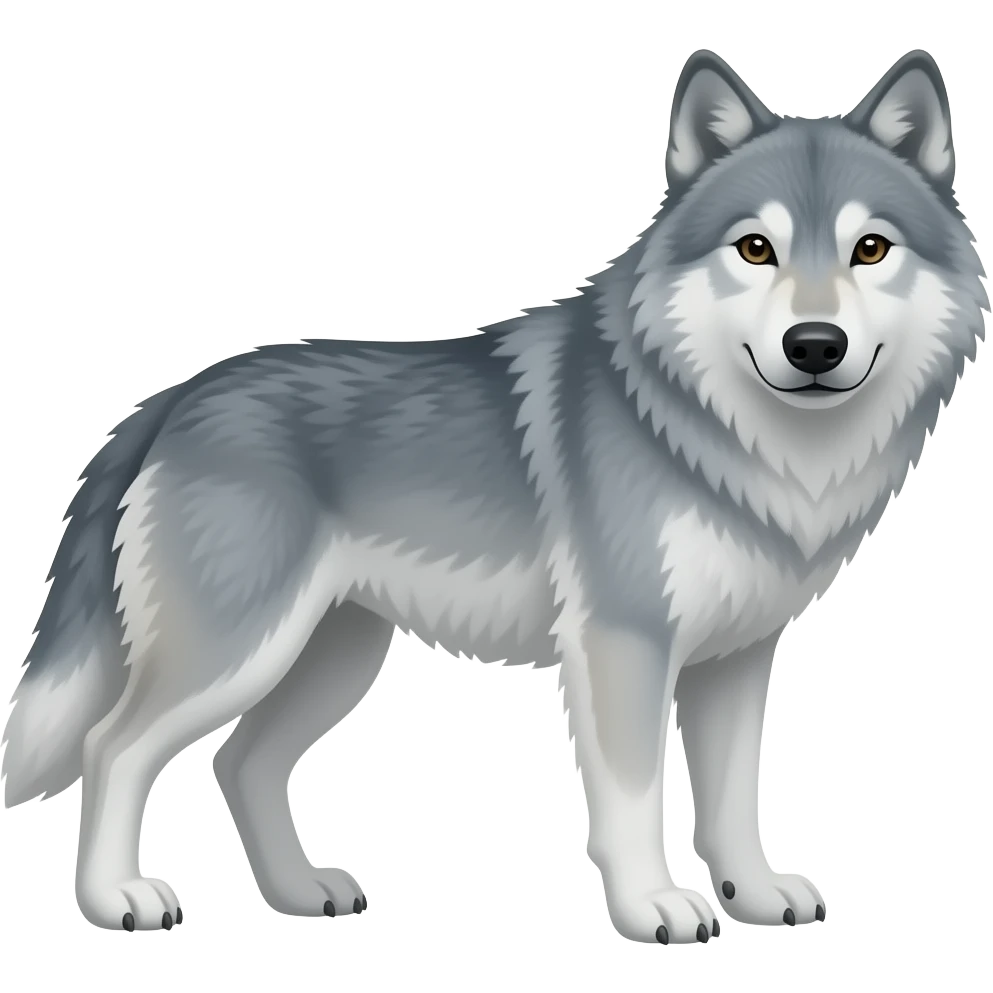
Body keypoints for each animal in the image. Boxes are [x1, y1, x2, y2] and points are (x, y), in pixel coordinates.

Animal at [2, 45, 988, 941]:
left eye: (869, 248)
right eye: (755, 247)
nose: (814, 344)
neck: (727, 437)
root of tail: (172, 397)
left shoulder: (736, 655)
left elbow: (732, 795)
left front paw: (753, 891)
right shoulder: (623, 643)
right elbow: (634, 798)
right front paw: (653, 907)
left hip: (332, 657)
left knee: (239, 762)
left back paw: (300, 893)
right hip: (239, 650)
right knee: (112, 748)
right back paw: (118, 900)